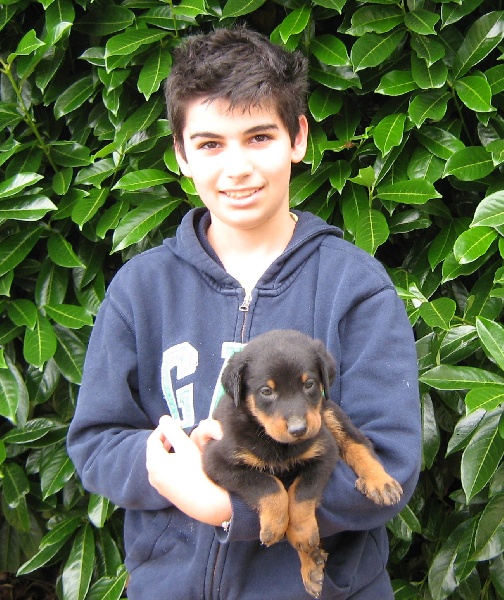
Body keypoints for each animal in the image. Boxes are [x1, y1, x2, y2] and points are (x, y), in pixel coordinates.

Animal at [202, 329, 402, 599]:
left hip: (327, 413)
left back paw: (380, 482)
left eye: (309, 384)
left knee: (358, 444)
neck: (278, 445)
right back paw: (312, 565)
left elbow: (301, 493)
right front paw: (275, 527)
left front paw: (301, 532)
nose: (299, 430)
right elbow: (268, 485)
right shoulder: (218, 461)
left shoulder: (323, 452)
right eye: (266, 391)